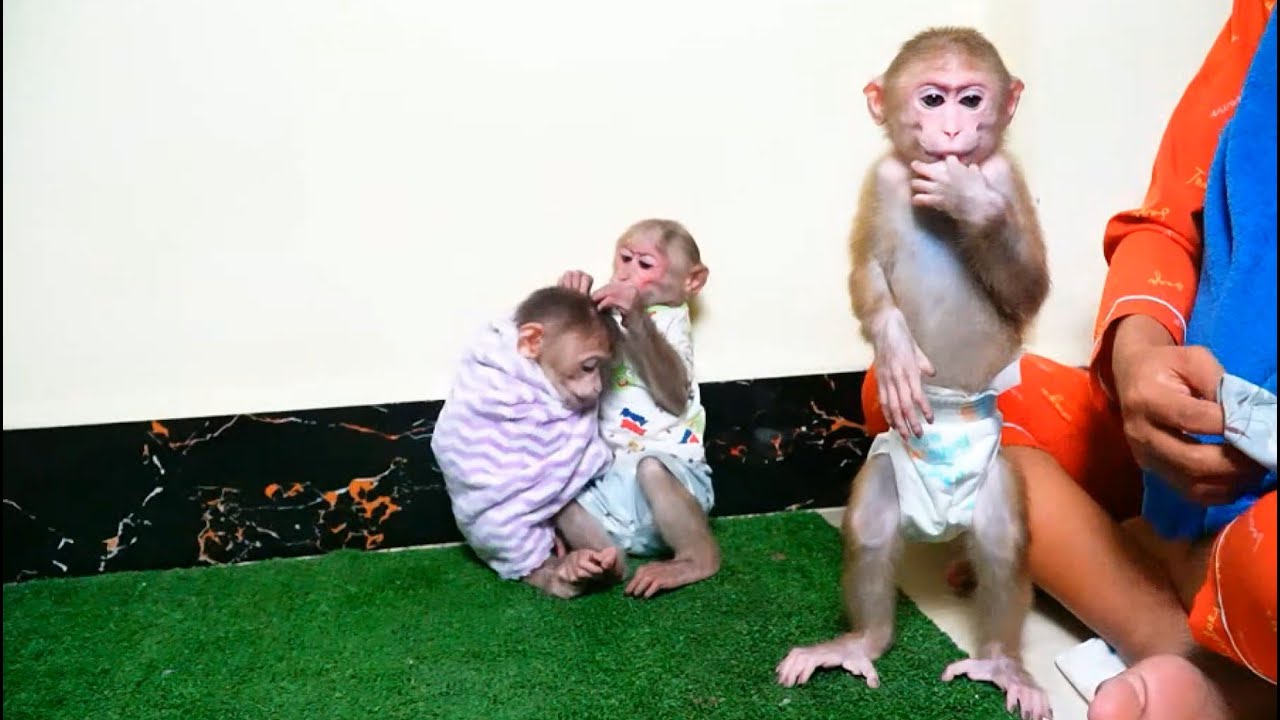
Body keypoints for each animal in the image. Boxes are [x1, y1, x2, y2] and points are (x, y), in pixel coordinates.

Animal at [553, 218, 720, 599]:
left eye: (644, 264)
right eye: (625, 258)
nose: (625, 275)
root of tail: (634, 539)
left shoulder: (678, 328)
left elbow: (676, 391)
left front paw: (630, 306)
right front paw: (574, 283)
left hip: (694, 490)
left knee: (654, 469)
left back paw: (694, 562)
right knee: (567, 504)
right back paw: (596, 566)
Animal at [775, 27, 1052, 720]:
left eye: (970, 98)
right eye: (932, 98)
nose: (952, 128)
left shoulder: (1006, 175)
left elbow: (1029, 288)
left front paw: (972, 204)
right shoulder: (882, 177)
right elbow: (867, 272)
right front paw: (895, 350)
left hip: (993, 481)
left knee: (1002, 541)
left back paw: (1001, 665)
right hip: (886, 470)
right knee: (872, 528)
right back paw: (861, 643)